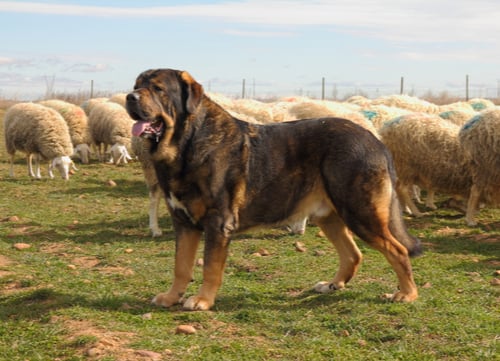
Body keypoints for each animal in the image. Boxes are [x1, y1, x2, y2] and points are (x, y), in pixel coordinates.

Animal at [126, 68, 422, 310]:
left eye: (158, 89)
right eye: (137, 84)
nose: (130, 97)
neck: (186, 143)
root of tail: (375, 141)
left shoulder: (218, 222)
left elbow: (210, 266)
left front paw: (202, 300)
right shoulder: (183, 222)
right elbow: (181, 265)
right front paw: (171, 297)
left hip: (361, 213)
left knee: (397, 250)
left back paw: (407, 294)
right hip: (330, 216)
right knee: (353, 254)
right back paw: (332, 285)